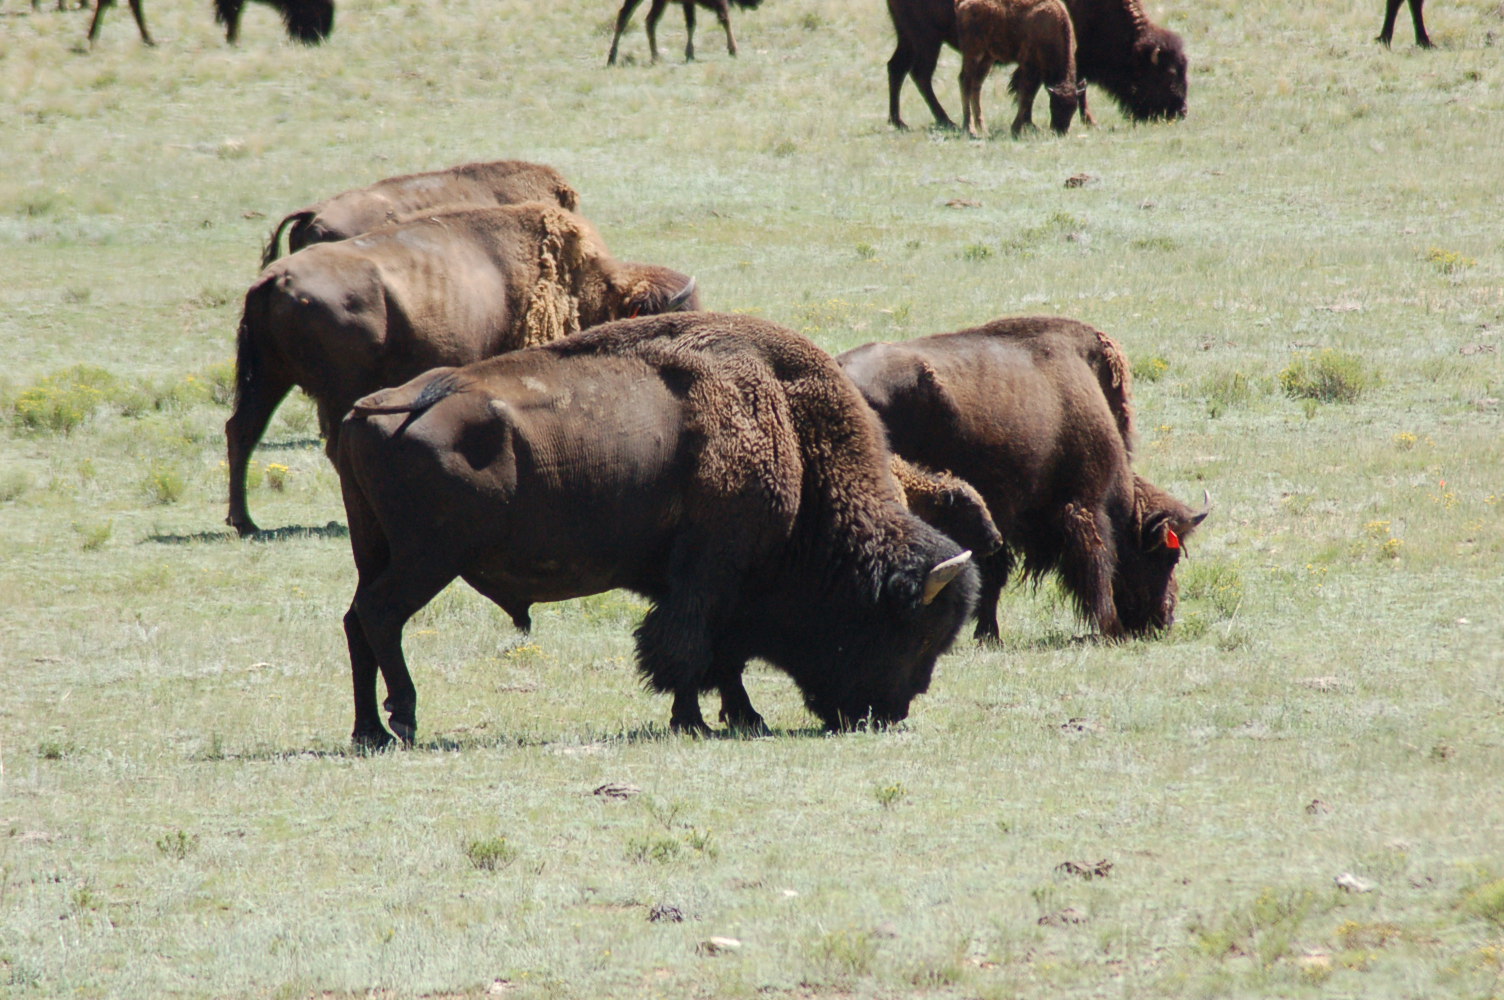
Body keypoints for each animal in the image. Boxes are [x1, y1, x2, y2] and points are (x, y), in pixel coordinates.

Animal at [335, 312, 978, 746]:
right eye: (915, 633)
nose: (889, 713)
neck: (790, 432)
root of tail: (379, 405)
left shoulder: (708, 585)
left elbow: (720, 655)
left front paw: (743, 717)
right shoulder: (708, 575)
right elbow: (689, 648)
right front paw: (694, 721)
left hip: (375, 550)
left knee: (355, 620)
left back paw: (370, 731)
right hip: (429, 558)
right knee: (380, 615)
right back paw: (403, 718)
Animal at [838, 316, 1208, 642]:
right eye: (1167, 556)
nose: (1163, 621)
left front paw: (988, 635)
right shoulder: (1083, 507)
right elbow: (1098, 566)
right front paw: (1109, 628)